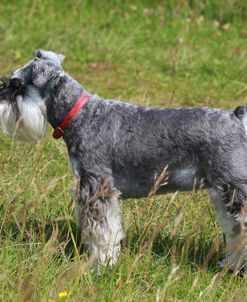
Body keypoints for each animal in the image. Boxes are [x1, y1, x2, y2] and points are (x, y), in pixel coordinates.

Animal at [0, 49, 247, 272]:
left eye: (16, 85)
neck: (80, 115)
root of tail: (236, 117)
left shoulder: (96, 188)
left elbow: (101, 233)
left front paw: (101, 266)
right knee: (235, 233)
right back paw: (231, 266)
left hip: (235, 190)